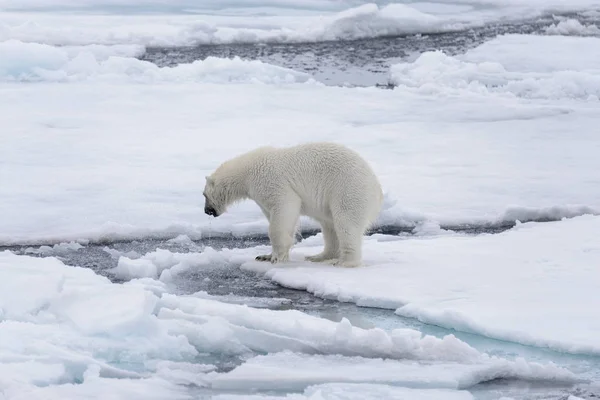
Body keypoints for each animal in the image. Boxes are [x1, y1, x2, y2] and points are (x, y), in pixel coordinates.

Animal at [204, 142, 384, 268]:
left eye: (204, 195)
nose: (206, 211)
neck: (247, 171)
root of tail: (377, 188)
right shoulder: (261, 196)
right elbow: (281, 218)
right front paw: (265, 256)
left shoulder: (272, 182)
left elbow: (284, 209)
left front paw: (275, 258)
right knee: (329, 226)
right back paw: (318, 256)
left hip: (348, 189)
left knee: (346, 223)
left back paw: (344, 262)